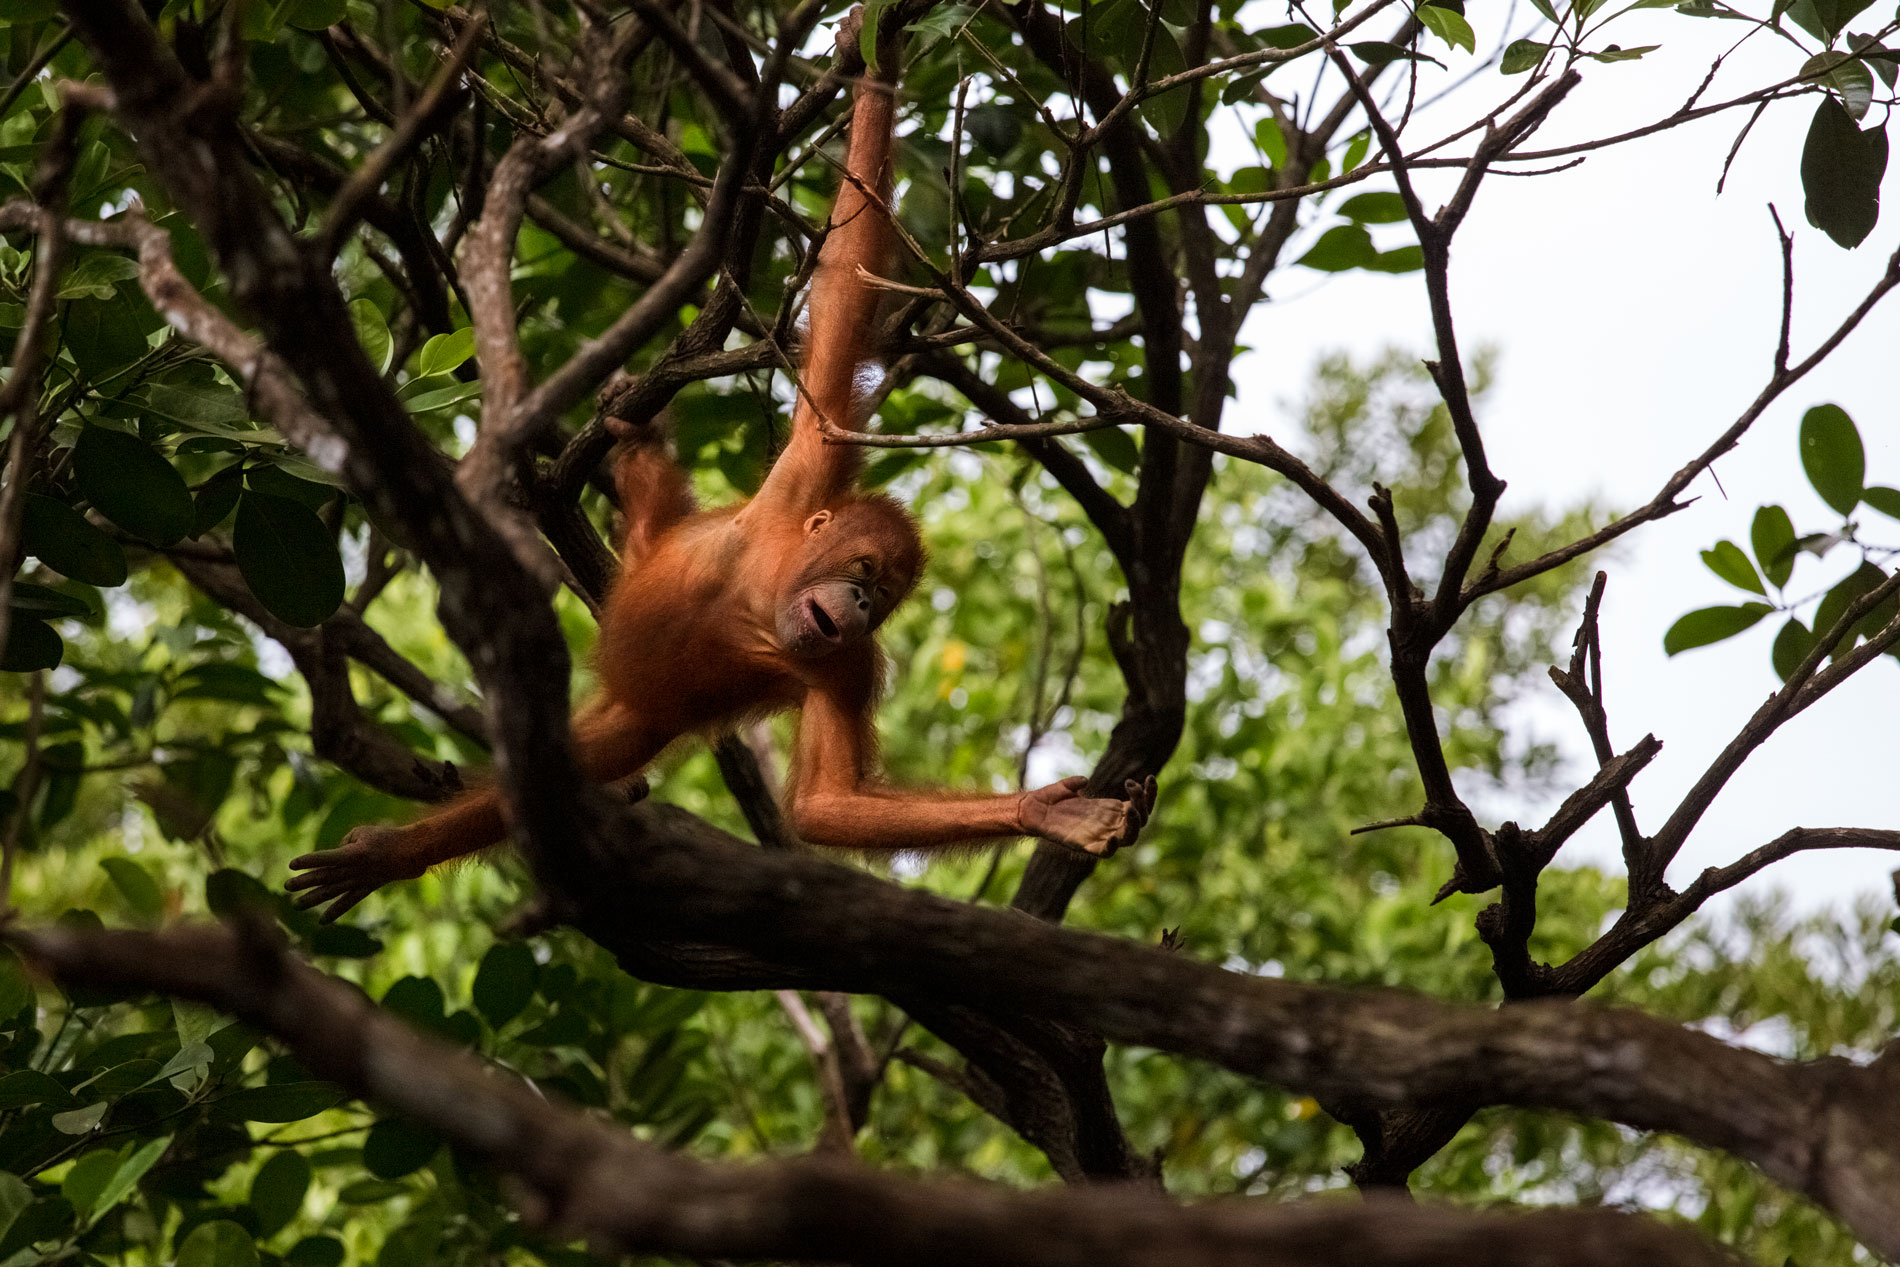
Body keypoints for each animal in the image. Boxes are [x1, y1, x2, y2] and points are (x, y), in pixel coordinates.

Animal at [286, 15, 1156, 923]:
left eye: (881, 601)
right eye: (866, 573)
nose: (857, 604)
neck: (767, 588)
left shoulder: (849, 666)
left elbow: (825, 803)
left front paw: (1047, 813)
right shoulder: (803, 482)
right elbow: (842, 309)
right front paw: (877, 57)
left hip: (634, 721)